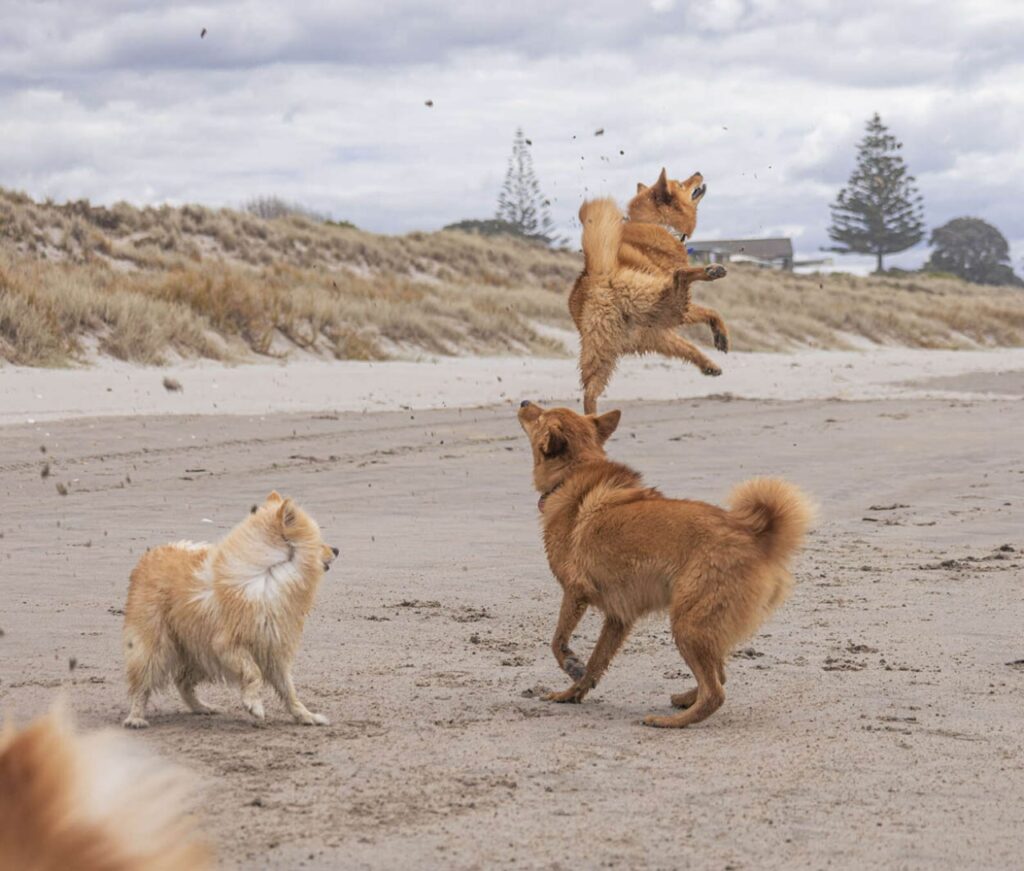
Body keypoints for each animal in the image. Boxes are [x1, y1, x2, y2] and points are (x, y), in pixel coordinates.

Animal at [121, 491, 333, 728]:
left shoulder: (273, 648)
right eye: (319, 542)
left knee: (182, 681)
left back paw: (202, 707)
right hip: (155, 645)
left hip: (198, 651)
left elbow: (288, 689)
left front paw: (306, 715)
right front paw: (254, 705)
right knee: (143, 683)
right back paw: (136, 717)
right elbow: (253, 672)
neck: (268, 572)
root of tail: (148, 556)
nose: (336, 549)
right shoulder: (227, 645)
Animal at [520, 401, 815, 728]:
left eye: (540, 416)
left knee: (716, 692)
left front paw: (572, 665)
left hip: (687, 623)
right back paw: (686, 699)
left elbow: (557, 640)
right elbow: (597, 661)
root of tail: (754, 536)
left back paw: (671, 721)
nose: (523, 403)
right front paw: (573, 691)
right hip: (702, 625)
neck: (575, 471)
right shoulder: (618, 618)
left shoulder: (575, 591)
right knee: (719, 675)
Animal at [573, 171, 733, 417]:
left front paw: (708, 364)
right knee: (680, 276)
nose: (698, 173)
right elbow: (711, 312)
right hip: (664, 304)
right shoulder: (675, 317)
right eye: (680, 184)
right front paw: (720, 335)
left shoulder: (659, 334)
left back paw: (592, 421)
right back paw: (710, 271)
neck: (659, 224)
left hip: (603, 350)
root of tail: (599, 272)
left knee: (589, 393)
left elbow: (689, 347)